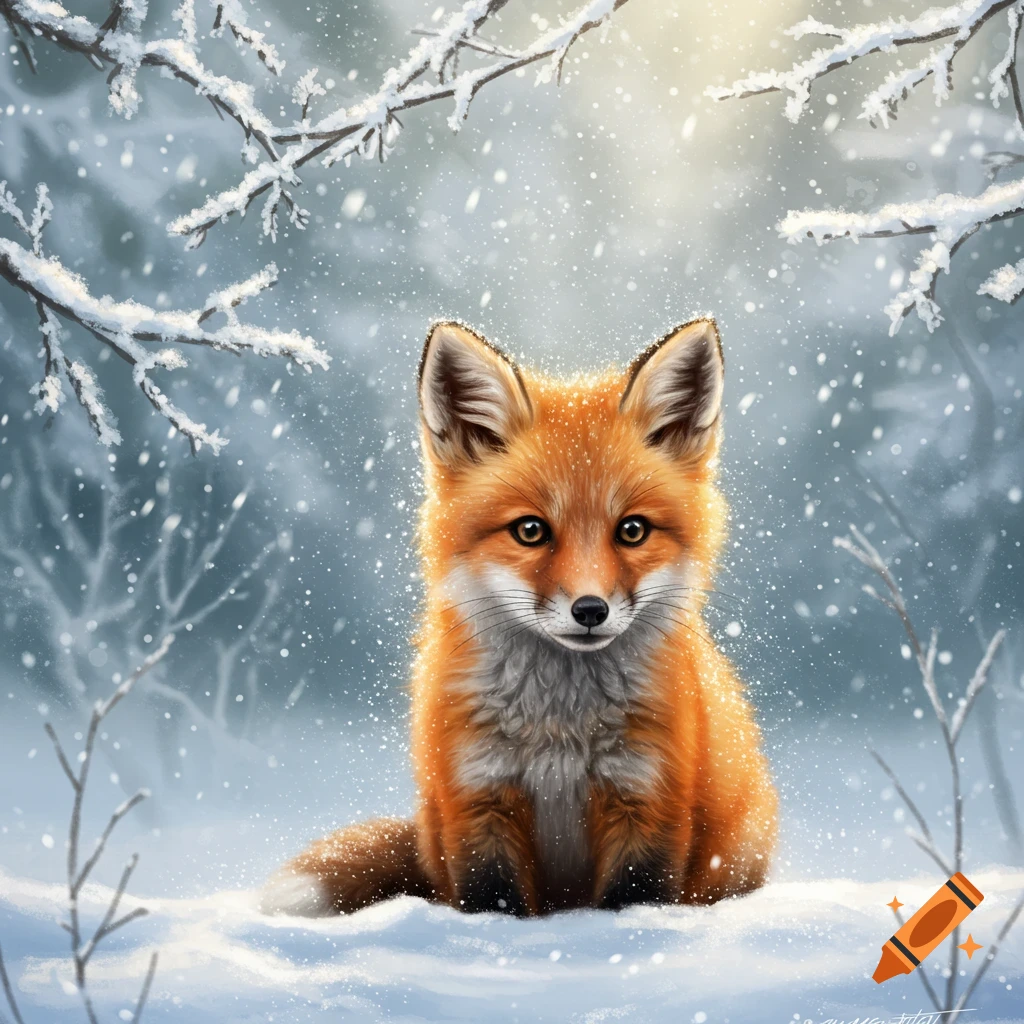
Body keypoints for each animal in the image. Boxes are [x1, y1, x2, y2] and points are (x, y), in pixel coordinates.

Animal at [260, 317, 778, 917]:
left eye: (632, 530)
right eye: (530, 530)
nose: (590, 610)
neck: (559, 729)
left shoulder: (649, 800)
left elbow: (632, 903)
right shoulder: (477, 801)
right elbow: (492, 904)